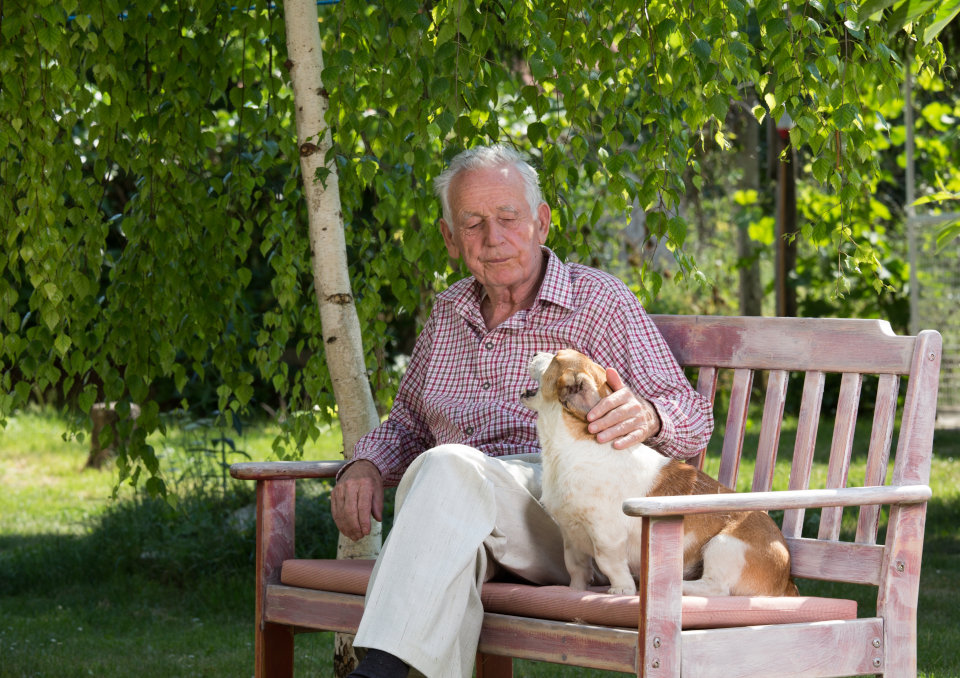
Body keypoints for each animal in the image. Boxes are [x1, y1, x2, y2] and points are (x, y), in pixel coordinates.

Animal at [520, 350, 800, 600]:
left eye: (556, 357)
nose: (533, 354)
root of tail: (786, 582)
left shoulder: (606, 535)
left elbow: (610, 564)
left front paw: (621, 590)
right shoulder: (571, 535)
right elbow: (577, 569)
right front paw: (575, 591)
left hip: (723, 546)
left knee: (715, 588)